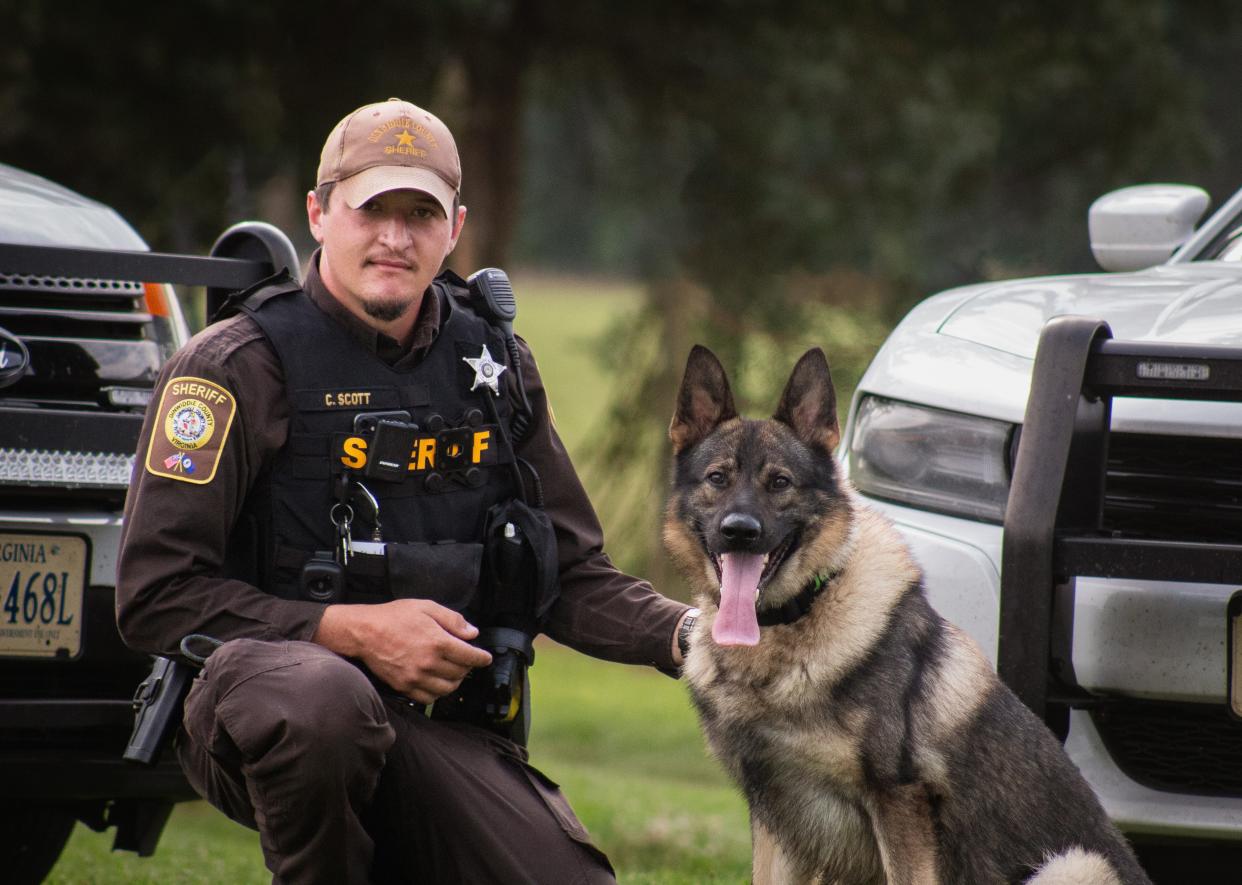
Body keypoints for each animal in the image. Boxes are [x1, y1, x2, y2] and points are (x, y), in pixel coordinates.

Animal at [665, 347, 1147, 883]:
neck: (793, 622)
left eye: (780, 483)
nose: (740, 531)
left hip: (1073, 863)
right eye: (717, 478)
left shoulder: (898, 805)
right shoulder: (775, 819)